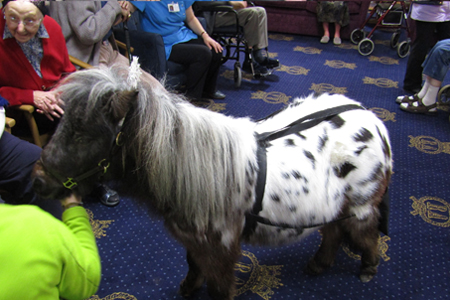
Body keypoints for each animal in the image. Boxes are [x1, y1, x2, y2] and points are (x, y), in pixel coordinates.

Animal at [32, 65, 390, 300]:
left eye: (83, 133)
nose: (37, 181)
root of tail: (372, 119)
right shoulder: (195, 242)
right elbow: (193, 266)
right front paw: (188, 289)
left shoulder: (221, 251)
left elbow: (219, 287)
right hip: (332, 207)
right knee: (332, 232)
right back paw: (318, 265)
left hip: (360, 206)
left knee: (365, 234)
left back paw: (368, 268)